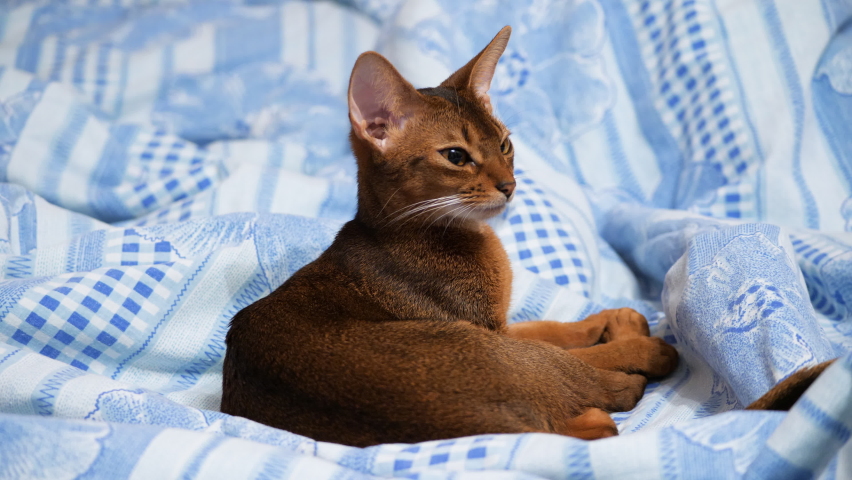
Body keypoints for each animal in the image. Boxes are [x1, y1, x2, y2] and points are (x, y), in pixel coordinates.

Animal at [223, 25, 828, 446]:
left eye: (505, 143)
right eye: (456, 156)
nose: (510, 185)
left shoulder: (498, 325)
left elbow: (549, 327)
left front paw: (602, 320)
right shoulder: (483, 327)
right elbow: (559, 345)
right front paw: (619, 335)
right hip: (477, 347)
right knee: (602, 390)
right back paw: (640, 354)